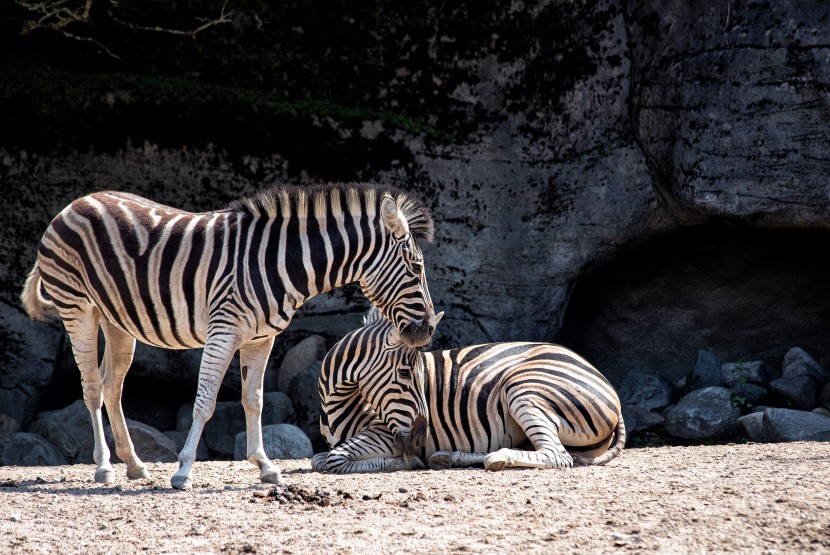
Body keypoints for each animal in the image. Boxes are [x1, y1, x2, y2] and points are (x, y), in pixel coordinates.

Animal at [21, 185, 436, 488]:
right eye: (416, 268)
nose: (428, 329)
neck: (279, 263)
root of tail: (75, 203)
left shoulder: (261, 338)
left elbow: (254, 401)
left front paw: (265, 466)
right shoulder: (224, 331)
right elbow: (205, 402)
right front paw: (183, 471)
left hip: (117, 320)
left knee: (112, 387)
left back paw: (135, 465)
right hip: (78, 308)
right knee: (92, 386)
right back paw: (105, 467)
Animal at [316, 308, 628, 474]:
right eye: (404, 374)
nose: (419, 440)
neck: (336, 404)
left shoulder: (384, 433)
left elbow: (331, 459)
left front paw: (407, 461)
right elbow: (322, 458)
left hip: (524, 388)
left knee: (556, 455)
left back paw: (495, 458)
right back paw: (449, 457)